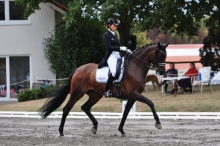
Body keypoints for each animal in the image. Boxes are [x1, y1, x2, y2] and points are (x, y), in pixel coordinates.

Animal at [38, 41, 168, 136]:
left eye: (165, 56)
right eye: (161, 55)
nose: (162, 72)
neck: (135, 67)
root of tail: (78, 69)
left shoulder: (132, 97)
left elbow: (126, 112)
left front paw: (121, 130)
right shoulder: (134, 94)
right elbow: (150, 103)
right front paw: (158, 123)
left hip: (95, 95)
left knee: (85, 107)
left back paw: (95, 127)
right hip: (77, 93)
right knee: (66, 109)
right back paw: (61, 132)